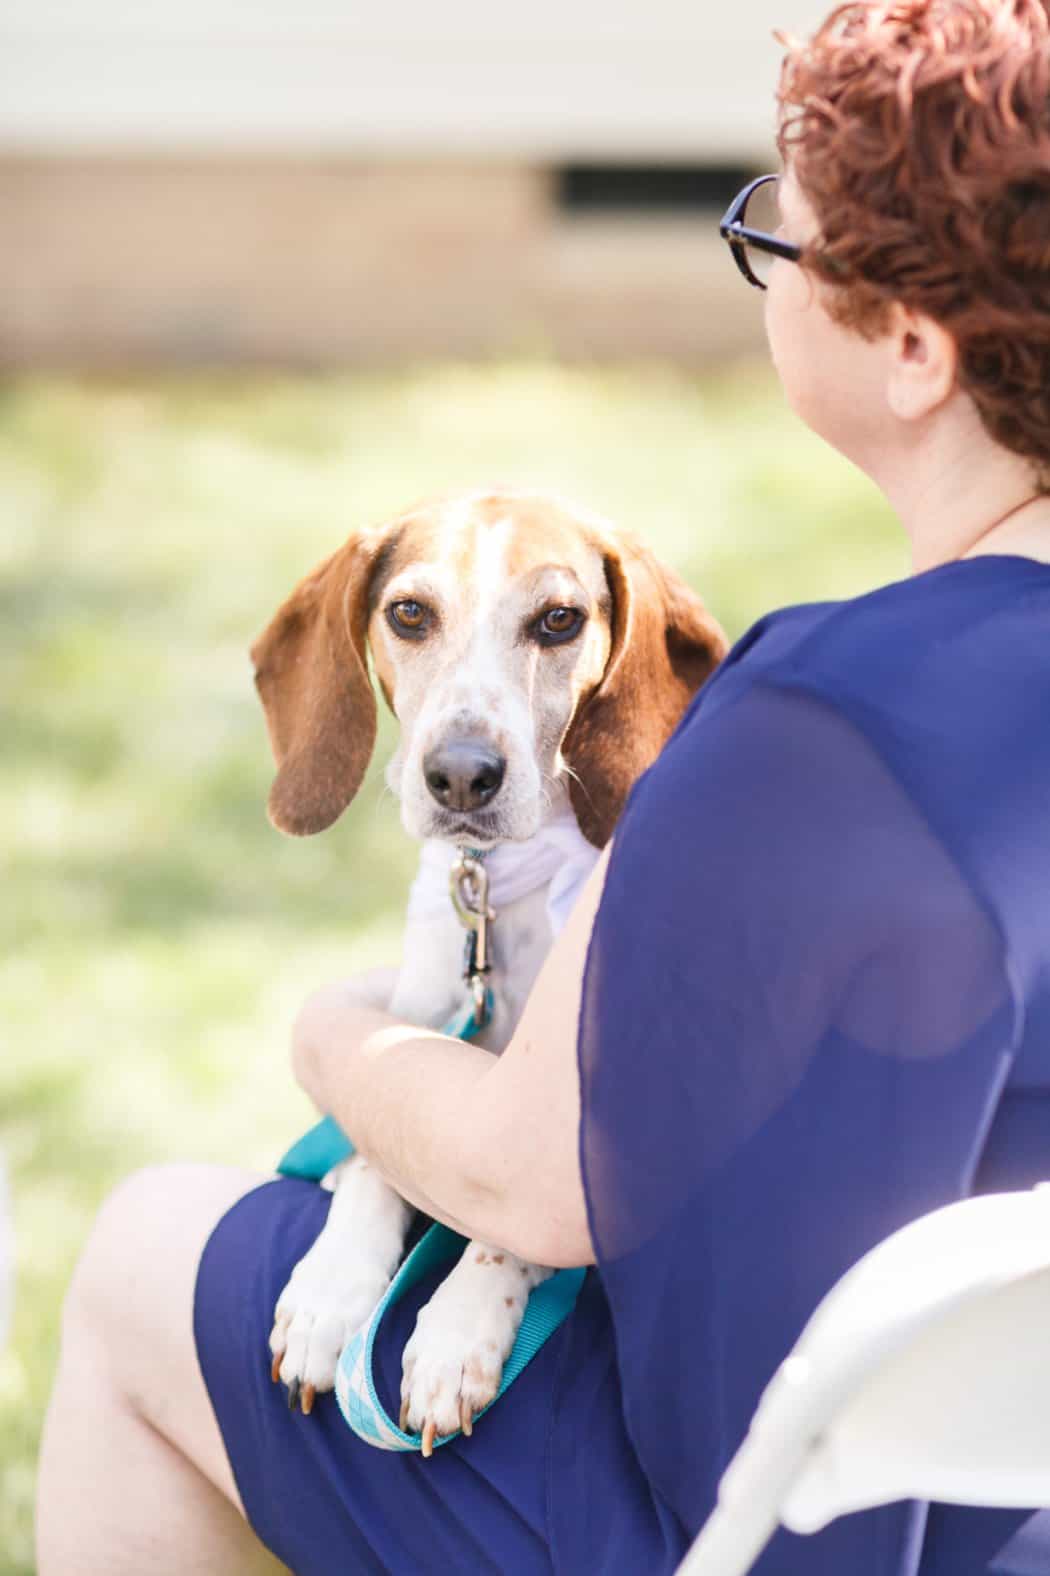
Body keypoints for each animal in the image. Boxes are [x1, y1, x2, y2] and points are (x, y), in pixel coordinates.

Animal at [253, 488, 728, 1449]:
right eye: (409, 613)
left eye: (558, 619)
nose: (462, 776)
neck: (504, 892)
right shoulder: (411, 1040)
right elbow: (374, 1162)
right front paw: (331, 1287)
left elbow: (507, 1228)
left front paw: (460, 1324)